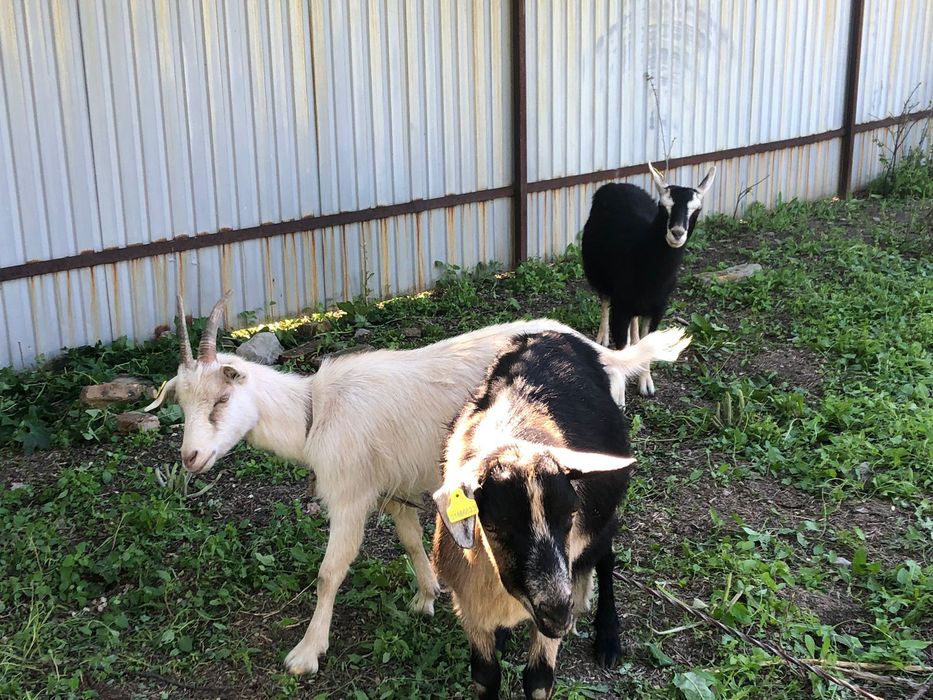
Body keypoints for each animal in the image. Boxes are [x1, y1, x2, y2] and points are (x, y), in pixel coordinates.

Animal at [144, 292, 631, 675]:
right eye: (182, 404)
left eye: (222, 399)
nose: (190, 458)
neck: (314, 413)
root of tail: (603, 353)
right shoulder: (394, 485)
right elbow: (411, 540)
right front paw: (427, 594)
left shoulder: (349, 495)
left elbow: (329, 572)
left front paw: (307, 651)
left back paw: (602, 632)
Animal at [433, 327, 690, 699]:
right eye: (493, 526)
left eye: (569, 516)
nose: (557, 615)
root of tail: (554, 334)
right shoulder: (470, 605)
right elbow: (485, 675)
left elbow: (539, 680)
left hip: (603, 517)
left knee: (607, 556)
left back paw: (608, 640)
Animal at [582, 161, 714, 397]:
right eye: (663, 206)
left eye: (696, 209)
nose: (677, 233)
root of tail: (617, 184)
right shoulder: (621, 306)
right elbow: (621, 344)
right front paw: (620, 395)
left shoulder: (657, 308)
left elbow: (648, 341)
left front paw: (646, 383)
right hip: (599, 274)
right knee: (604, 301)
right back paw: (602, 338)